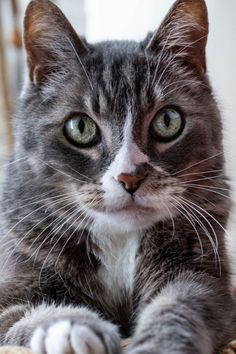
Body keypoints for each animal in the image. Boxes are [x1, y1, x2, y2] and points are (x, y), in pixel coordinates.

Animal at [0, 0, 234, 352]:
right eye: (80, 127)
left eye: (168, 120)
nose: (129, 177)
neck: (118, 238)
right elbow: (29, 312)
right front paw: (74, 327)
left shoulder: (202, 272)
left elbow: (181, 303)